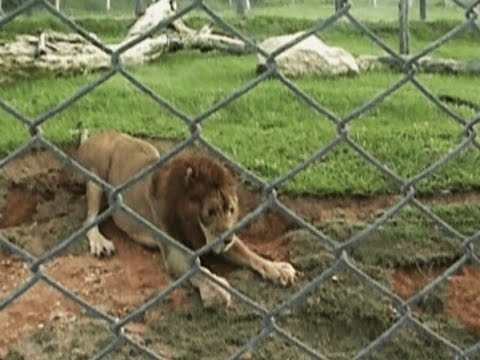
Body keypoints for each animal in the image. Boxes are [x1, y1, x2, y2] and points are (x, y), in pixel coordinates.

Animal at [77, 131, 296, 306]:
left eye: (231, 210)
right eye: (210, 212)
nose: (227, 239)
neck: (194, 223)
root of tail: (100, 133)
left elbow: (250, 254)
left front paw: (278, 269)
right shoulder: (175, 252)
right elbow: (198, 270)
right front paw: (216, 289)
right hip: (96, 174)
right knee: (89, 220)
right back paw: (100, 243)